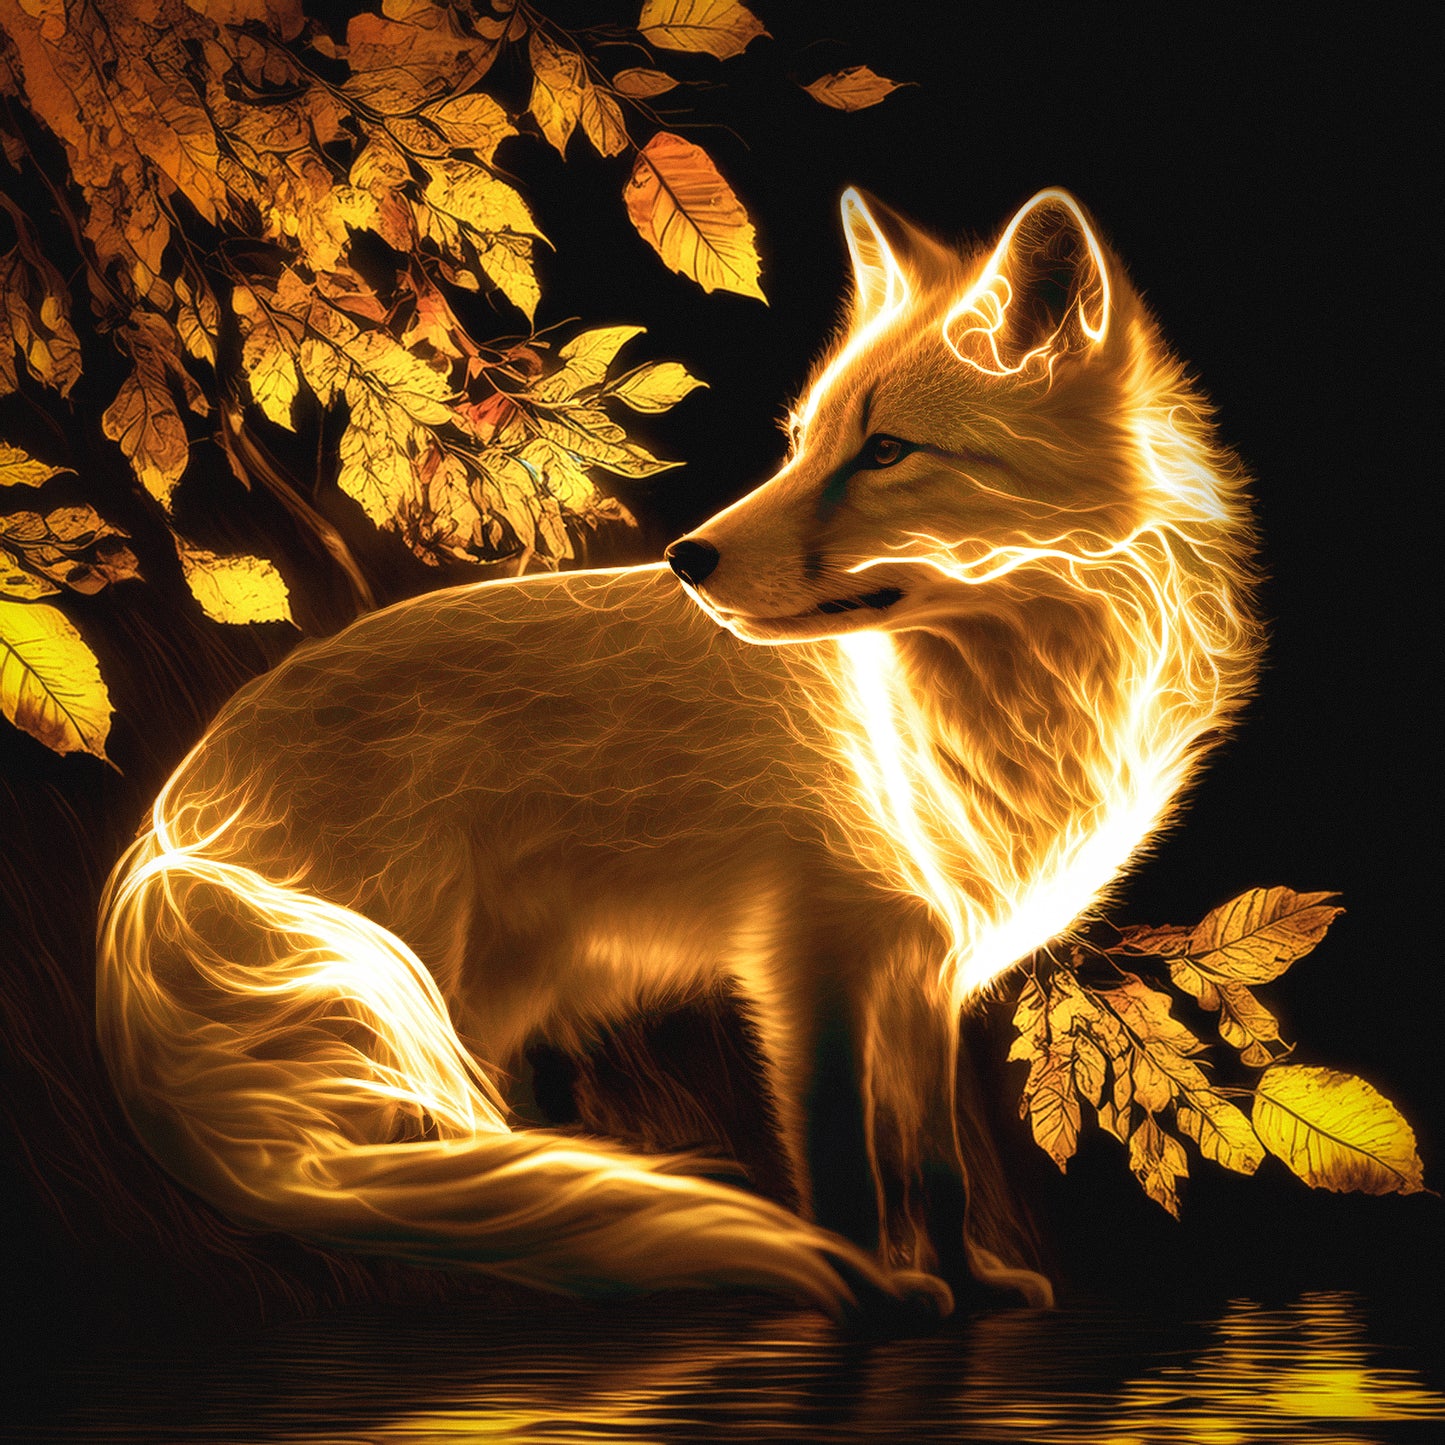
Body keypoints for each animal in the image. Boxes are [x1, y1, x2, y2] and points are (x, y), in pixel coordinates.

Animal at [96, 188, 1260, 1327]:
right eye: (800, 442)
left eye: (884, 451)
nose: (685, 557)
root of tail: (174, 810)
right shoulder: (806, 956)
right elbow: (845, 1163)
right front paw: (876, 1294)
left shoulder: (919, 970)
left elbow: (935, 1166)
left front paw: (970, 1287)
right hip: (397, 1003)